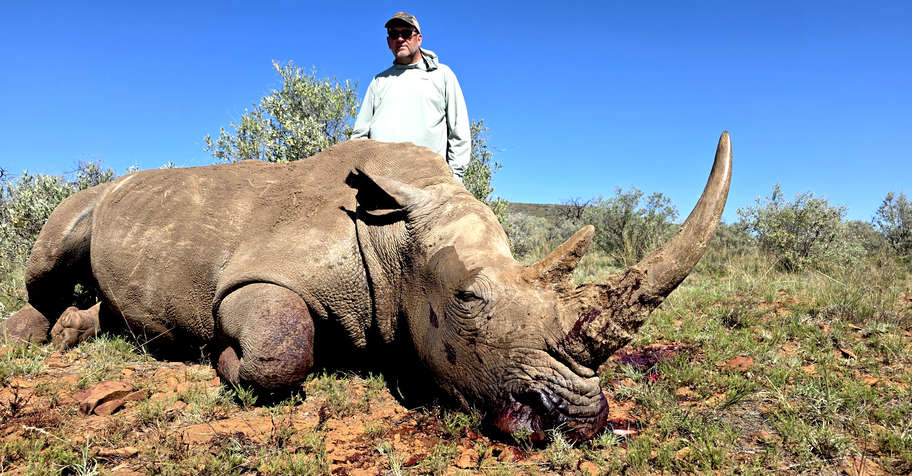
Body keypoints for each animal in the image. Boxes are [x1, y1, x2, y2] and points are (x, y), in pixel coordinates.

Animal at [2, 133, 731, 442]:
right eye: (467, 300)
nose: (577, 421)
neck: (400, 239)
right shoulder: (251, 275)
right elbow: (283, 346)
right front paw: (224, 359)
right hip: (94, 196)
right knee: (57, 242)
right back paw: (33, 337)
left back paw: (79, 333)